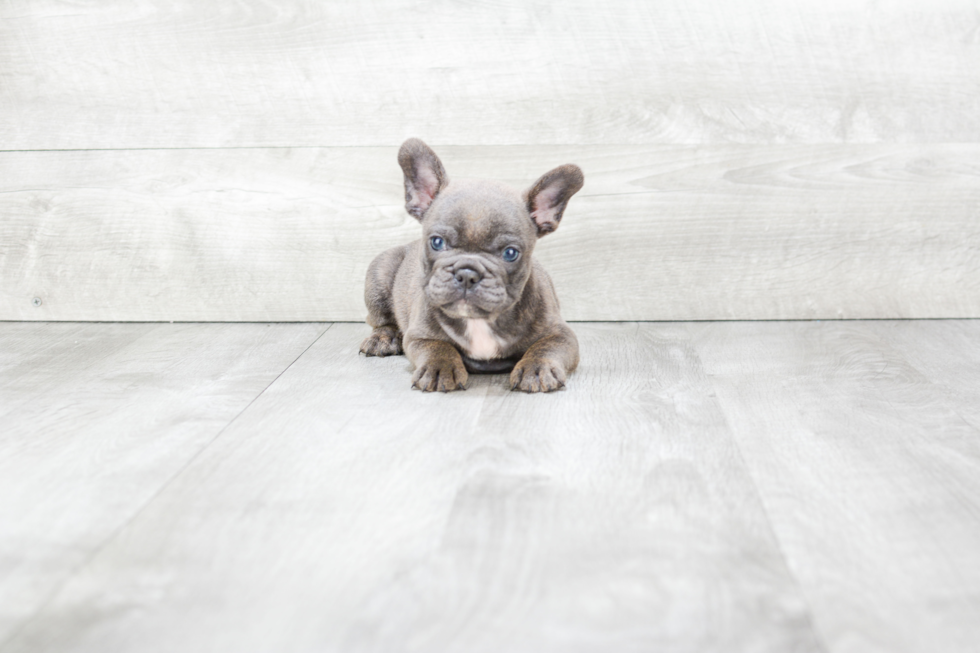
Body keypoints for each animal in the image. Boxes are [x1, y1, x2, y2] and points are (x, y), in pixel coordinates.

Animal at [364, 138, 584, 392]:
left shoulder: (561, 334)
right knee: (380, 320)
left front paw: (536, 369)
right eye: (436, 242)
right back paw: (382, 339)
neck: (478, 322)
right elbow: (438, 347)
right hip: (380, 272)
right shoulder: (419, 335)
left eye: (511, 253)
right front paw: (438, 368)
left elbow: (545, 348)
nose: (467, 273)